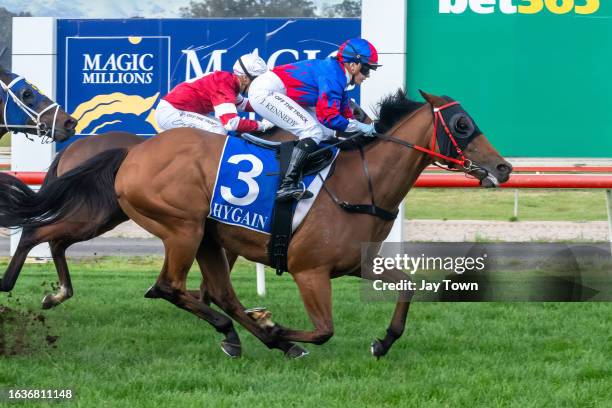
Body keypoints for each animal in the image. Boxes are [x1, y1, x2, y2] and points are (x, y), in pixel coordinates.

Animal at [0, 90, 512, 356]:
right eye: (462, 125)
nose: (504, 168)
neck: (360, 183)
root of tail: (133, 153)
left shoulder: (353, 263)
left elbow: (407, 285)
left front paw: (383, 342)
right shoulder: (309, 271)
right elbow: (324, 329)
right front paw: (282, 329)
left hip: (198, 234)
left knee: (213, 293)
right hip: (178, 227)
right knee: (165, 285)